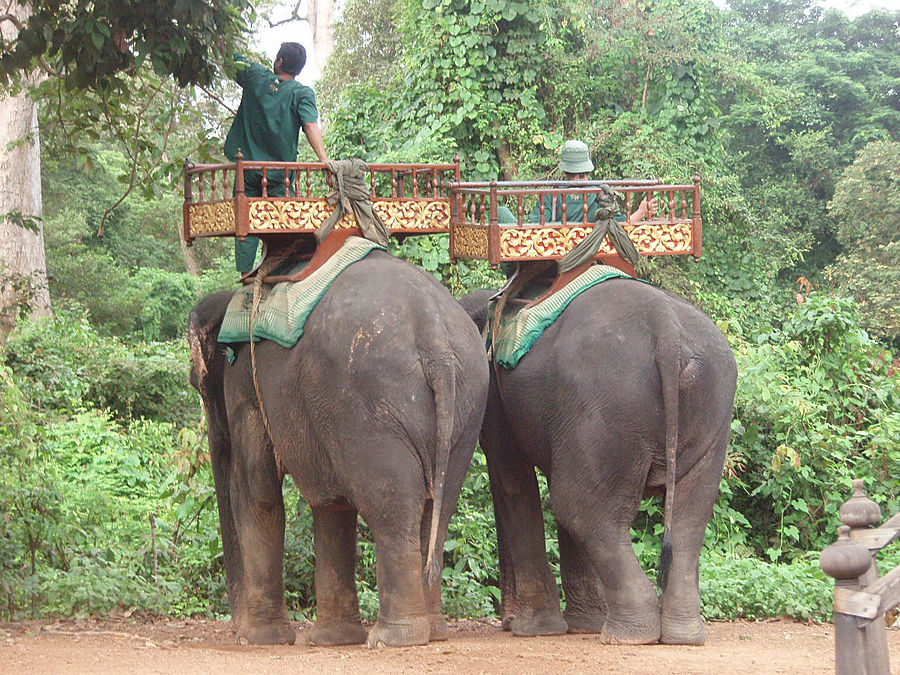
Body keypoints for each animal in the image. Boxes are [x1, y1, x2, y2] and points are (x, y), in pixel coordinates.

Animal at [185, 252, 488, 648]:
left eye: (198, 384)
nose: (236, 630)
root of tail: (433, 332)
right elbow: (331, 503)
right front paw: (333, 639)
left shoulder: (245, 389)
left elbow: (259, 492)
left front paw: (261, 639)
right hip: (466, 409)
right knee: (437, 505)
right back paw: (432, 632)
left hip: (369, 403)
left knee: (392, 509)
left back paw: (391, 638)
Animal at [460, 278, 736, 648]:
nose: (505, 621)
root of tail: (667, 329)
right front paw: (576, 625)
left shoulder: (496, 391)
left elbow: (512, 479)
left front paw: (533, 629)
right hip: (712, 404)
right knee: (691, 515)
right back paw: (681, 635)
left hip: (607, 404)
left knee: (578, 506)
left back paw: (627, 635)